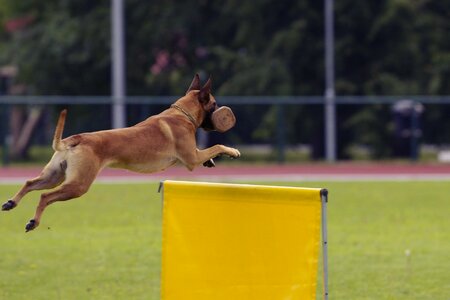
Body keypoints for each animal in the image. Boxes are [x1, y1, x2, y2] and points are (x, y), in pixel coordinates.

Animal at [1, 75, 241, 232]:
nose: (223, 115)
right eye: (214, 104)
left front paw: (211, 162)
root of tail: (75, 139)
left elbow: (210, 152)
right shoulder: (191, 158)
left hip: (54, 176)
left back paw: (11, 203)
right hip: (78, 185)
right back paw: (33, 222)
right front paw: (232, 150)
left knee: (30, 183)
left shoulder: (194, 154)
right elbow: (217, 146)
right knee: (45, 196)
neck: (182, 113)